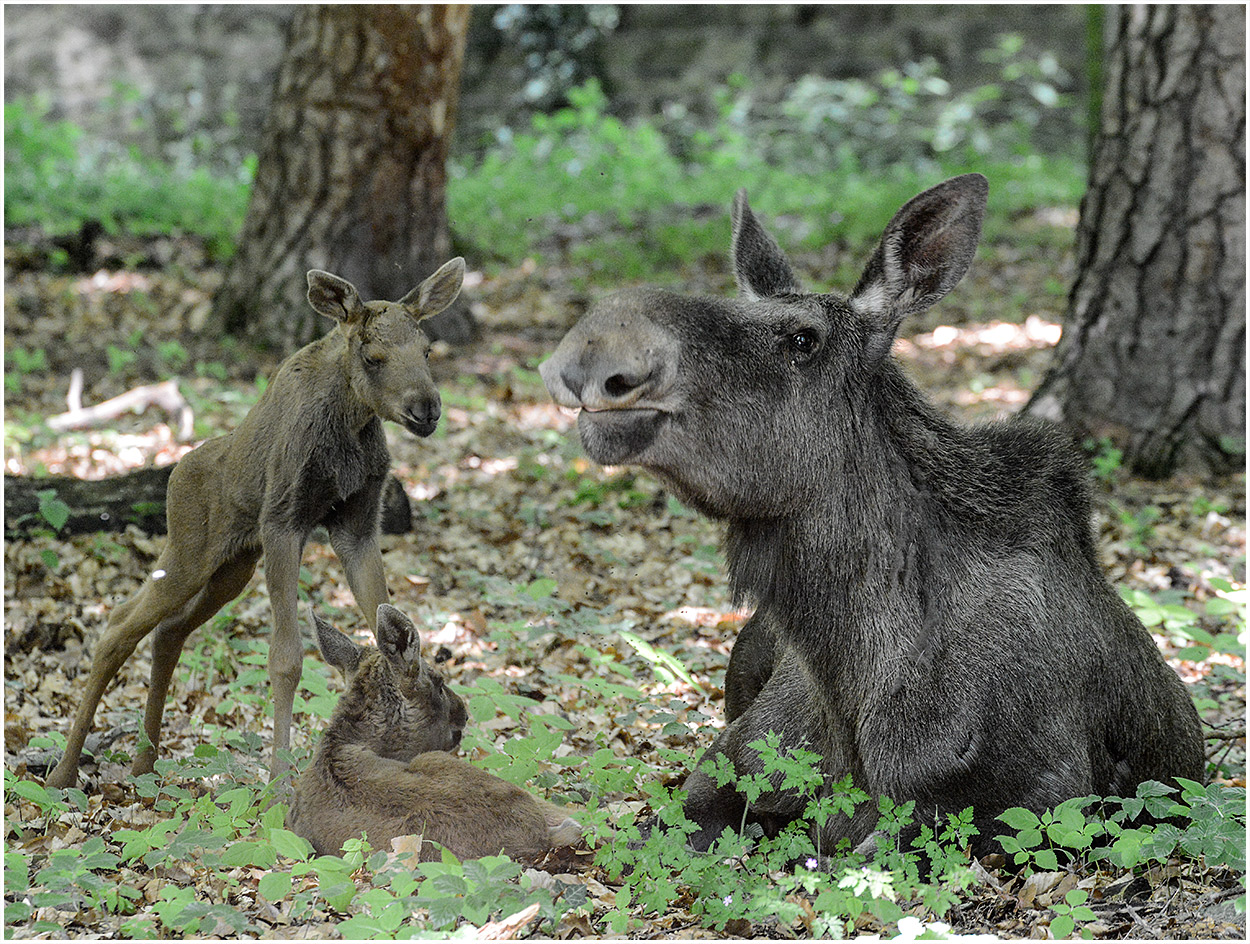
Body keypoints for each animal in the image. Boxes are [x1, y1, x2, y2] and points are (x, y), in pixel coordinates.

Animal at [44, 258, 467, 790]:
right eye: (373, 357)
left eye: (427, 349)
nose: (426, 408)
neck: (351, 422)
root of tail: (175, 474)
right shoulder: (283, 521)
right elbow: (286, 658)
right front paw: (279, 782)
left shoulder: (357, 526)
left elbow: (384, 628)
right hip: (188, 555)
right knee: (119, 625)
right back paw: (62, 771)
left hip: (232, 569)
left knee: (169, 631)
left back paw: (145, 762)